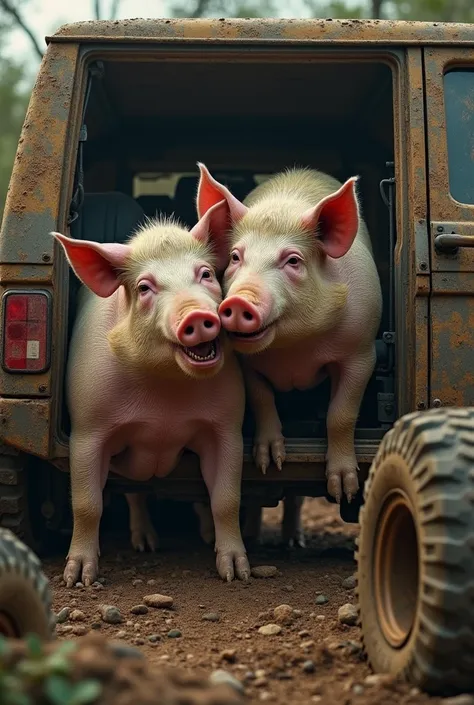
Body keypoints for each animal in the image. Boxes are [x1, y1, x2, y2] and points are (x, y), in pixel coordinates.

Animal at [52, 205, 252, 588]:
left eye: (205, 274)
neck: (164, 403)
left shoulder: (227, 428)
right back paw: (145, 545)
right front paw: (78, 579)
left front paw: (237, 574)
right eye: (145, 287)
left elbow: (226, 500)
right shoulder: (87, 429)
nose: (197, 315)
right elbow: (87, 504)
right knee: (134, 490)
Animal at [194, 164, 384, 544]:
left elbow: (341, 413)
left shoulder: (361, 352)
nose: (238, 302)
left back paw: (294, 541)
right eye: (236, 257)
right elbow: (262, 398)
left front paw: (344, 489)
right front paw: (270, 462)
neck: (294, 353)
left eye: (293, 260)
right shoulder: (246, 364)